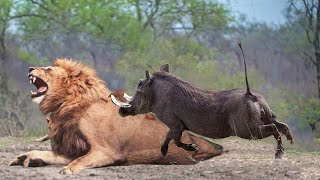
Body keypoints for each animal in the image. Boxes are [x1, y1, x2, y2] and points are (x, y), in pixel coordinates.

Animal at [8, 59, 222, 174]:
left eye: (48, 69)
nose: (29, 69)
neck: (67, 104)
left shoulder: (106, 151)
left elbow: (78, 161)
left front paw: (68, 169)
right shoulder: (73, 148)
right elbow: (44, 152)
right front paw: (25, 158)